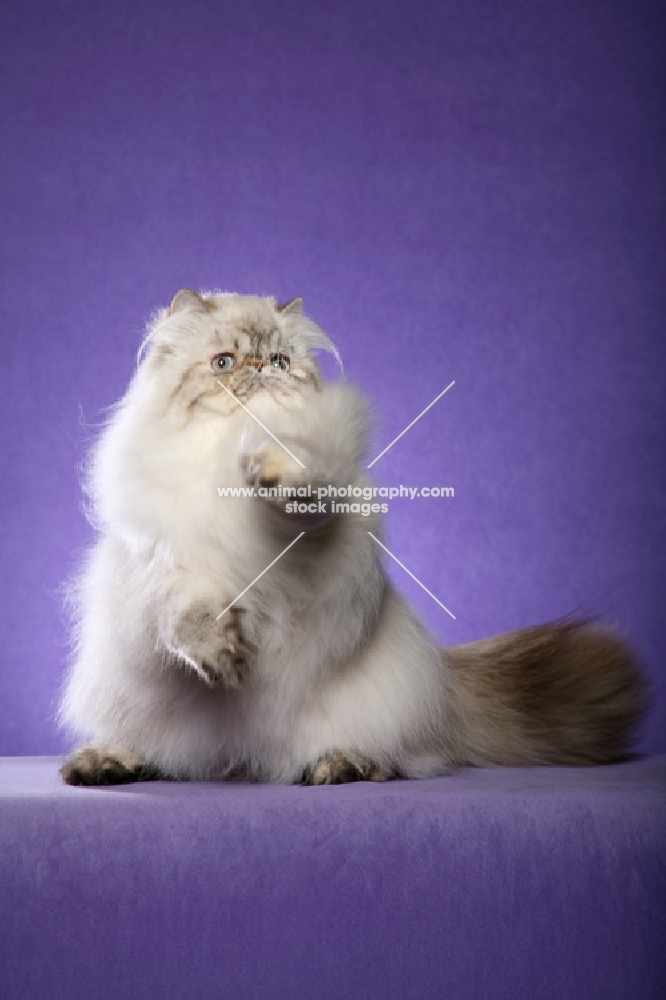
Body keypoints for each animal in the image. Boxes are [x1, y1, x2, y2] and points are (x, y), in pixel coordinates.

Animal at [58, 292, 644, 784]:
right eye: (224, 363)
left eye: (279, 363)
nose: (258, 371)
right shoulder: (168, 573)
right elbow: (192, 622)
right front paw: (222, 658)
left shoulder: (312, 526)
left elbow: (297, 481)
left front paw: (270, 469)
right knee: (166, 754)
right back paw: (105, 762)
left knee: (391, 757)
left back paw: (339, 765)